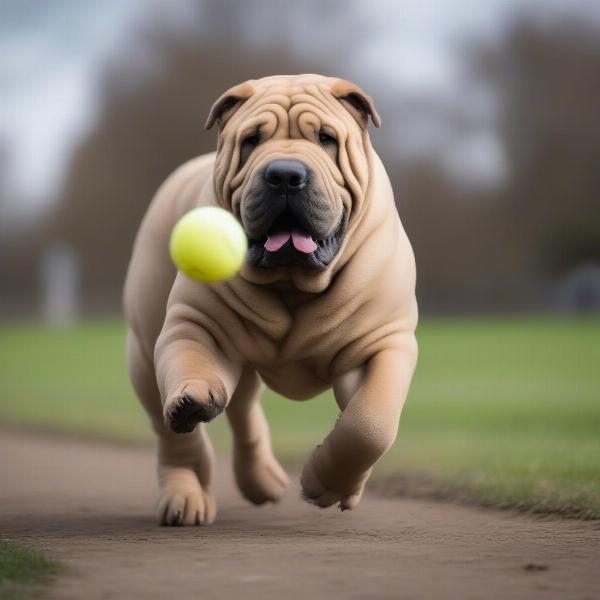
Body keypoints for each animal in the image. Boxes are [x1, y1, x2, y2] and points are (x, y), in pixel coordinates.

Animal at [123, 74, 418, 524]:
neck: (293, 281)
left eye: (327, 139)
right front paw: (192, 398)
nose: (284, 174)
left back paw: (263, 482)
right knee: (176, 436)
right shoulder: (194, 325)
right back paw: (185, 496)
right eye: (251, 141)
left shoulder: (382, 344)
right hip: (142, 352)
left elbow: (369, 424)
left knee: (244, 411)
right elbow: (190, 365)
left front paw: (324, 482)